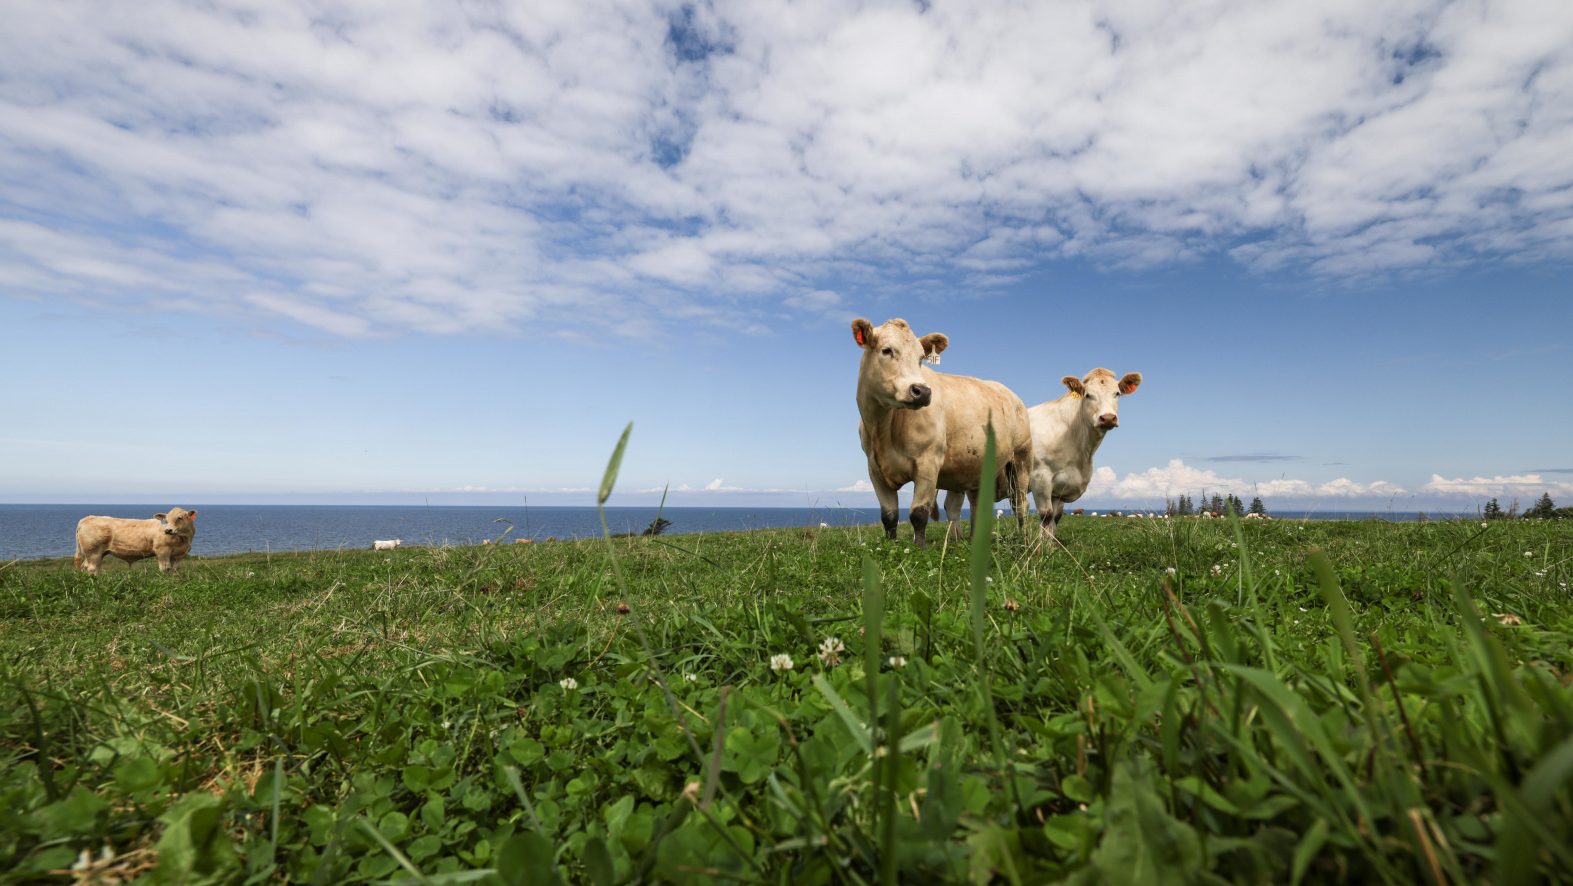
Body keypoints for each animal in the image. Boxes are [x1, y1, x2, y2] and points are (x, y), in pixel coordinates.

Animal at [852, 318, 1032, 547]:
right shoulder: (874, 469)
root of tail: (1010, 393)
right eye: (886, 350)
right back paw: (974, 540)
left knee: (1020, 504)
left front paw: (919, 547)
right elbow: (889, 516)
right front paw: (891, 543)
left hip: (1021, 459)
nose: (922, 391)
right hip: (977, 468)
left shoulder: (929, 462)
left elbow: (919, 513)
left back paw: (1025, 540)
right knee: (977, 505)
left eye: (921, 358)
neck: (882, 430)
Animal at [1029, 368, 1142, 542]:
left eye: (1117, 393)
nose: (1108, 417)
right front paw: (1041, 548)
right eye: (1088, 395)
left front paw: (1052, 546)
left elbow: (1056, 517)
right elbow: (1046, 515)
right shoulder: (1040, 477)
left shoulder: (1060, 487)